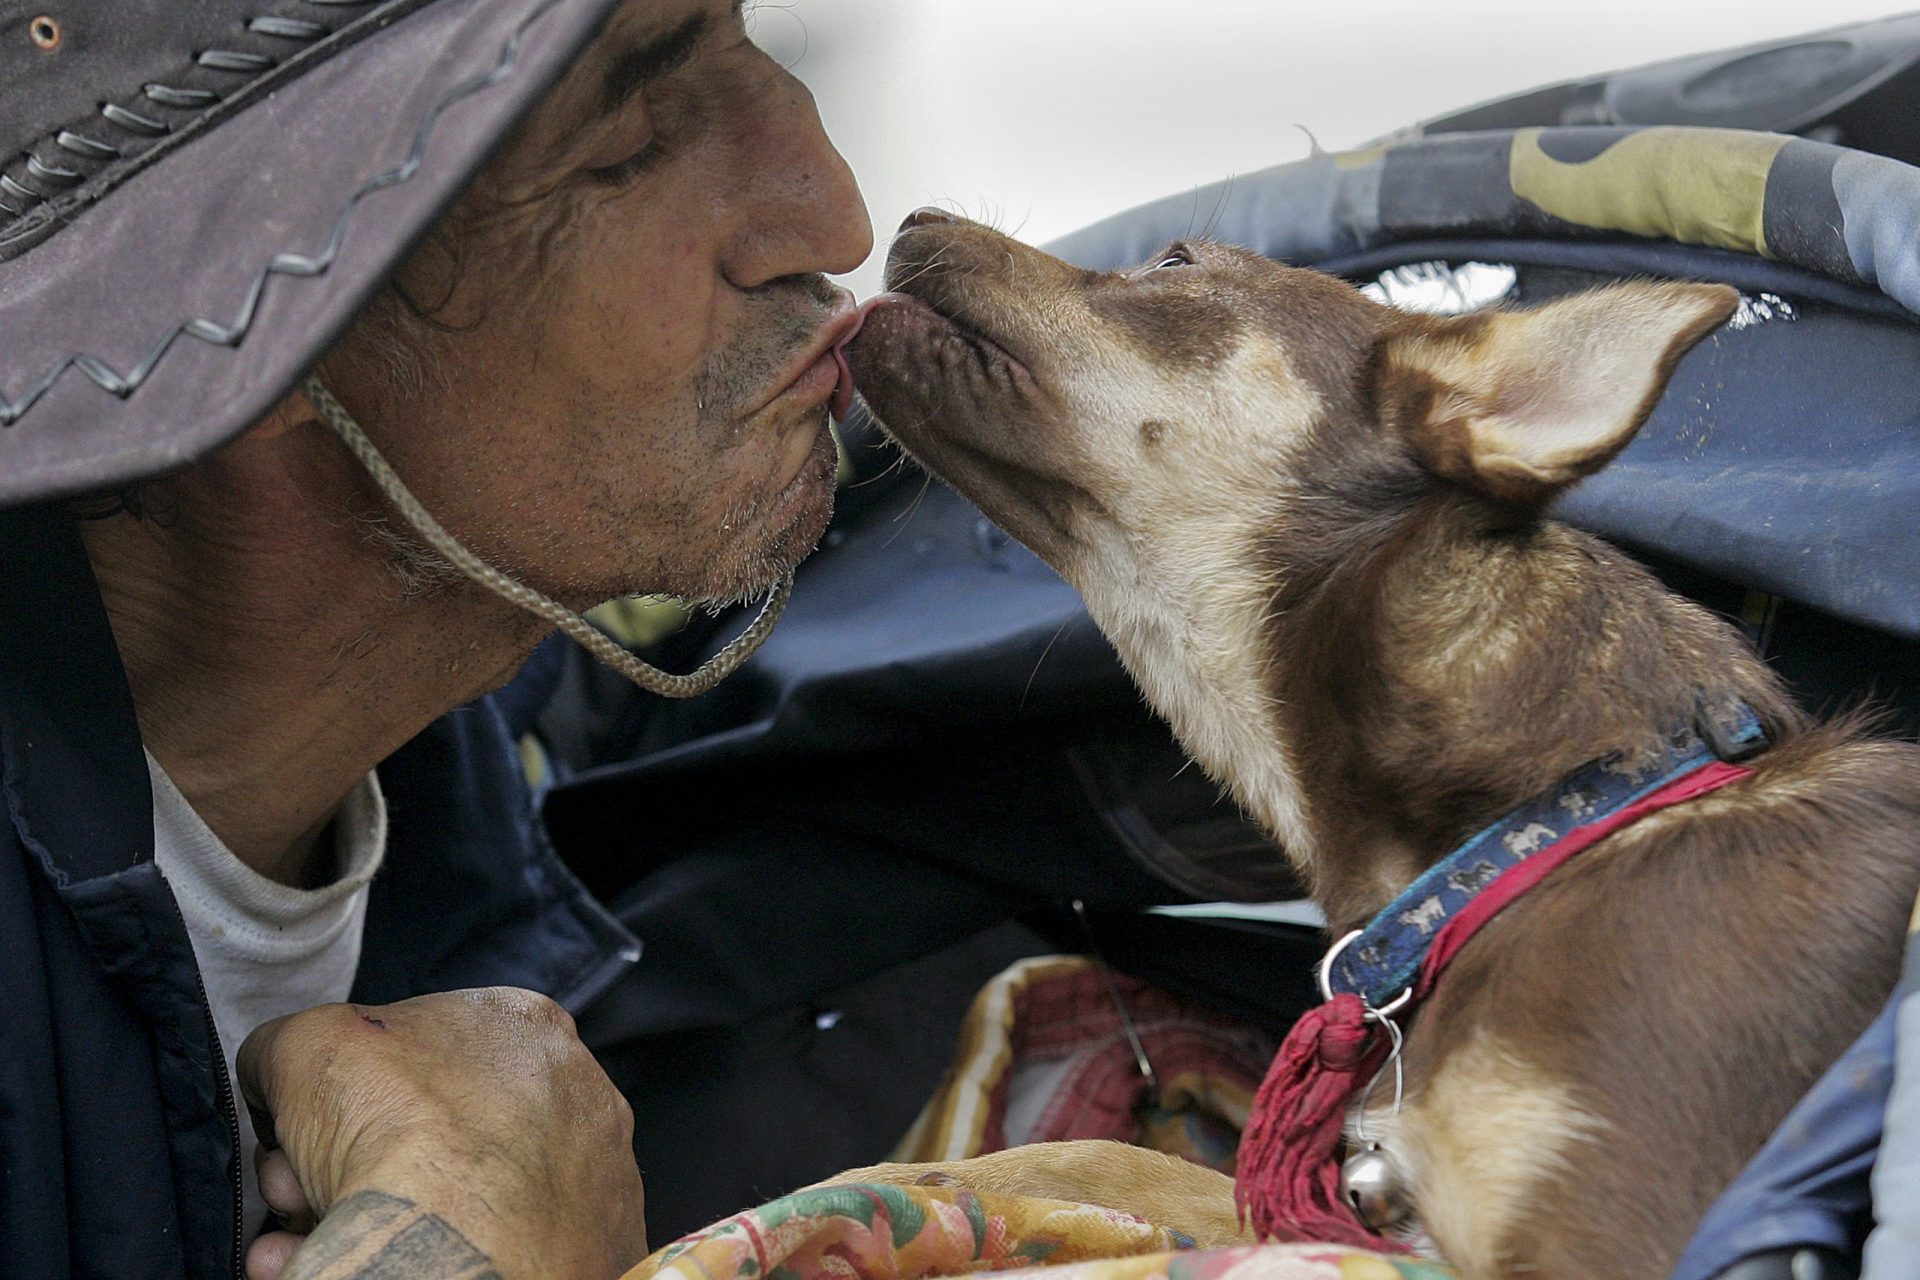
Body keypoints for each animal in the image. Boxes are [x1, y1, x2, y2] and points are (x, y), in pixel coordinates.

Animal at [837, 213, 1920, 1280]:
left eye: (1175, 261)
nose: (913, 217)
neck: (1542, 832)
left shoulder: (1599, 1229)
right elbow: (1134, 1161)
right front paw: (924, 1174)